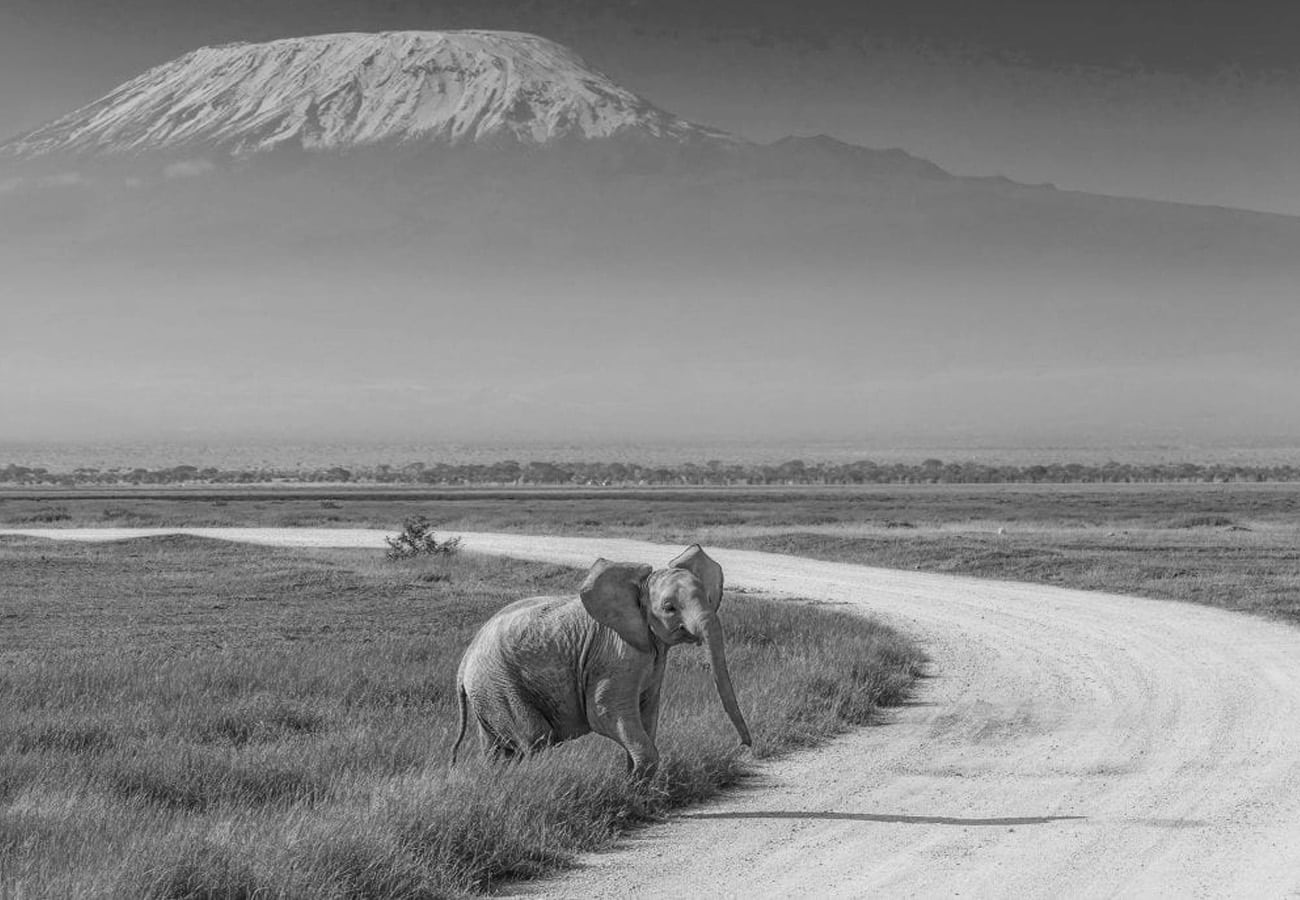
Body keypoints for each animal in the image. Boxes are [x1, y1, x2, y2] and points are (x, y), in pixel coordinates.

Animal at [452, 543, 754, 775]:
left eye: (708, 597)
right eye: (669, 608)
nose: (744, 746)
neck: (637, 593)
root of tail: (464, 662)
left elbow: (647, 712)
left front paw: (634, 782)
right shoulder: (615, 654)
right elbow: (605, 713)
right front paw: (636, 787)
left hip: (489, 693)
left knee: (497, 748)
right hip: (500, 686)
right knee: (535, 739)